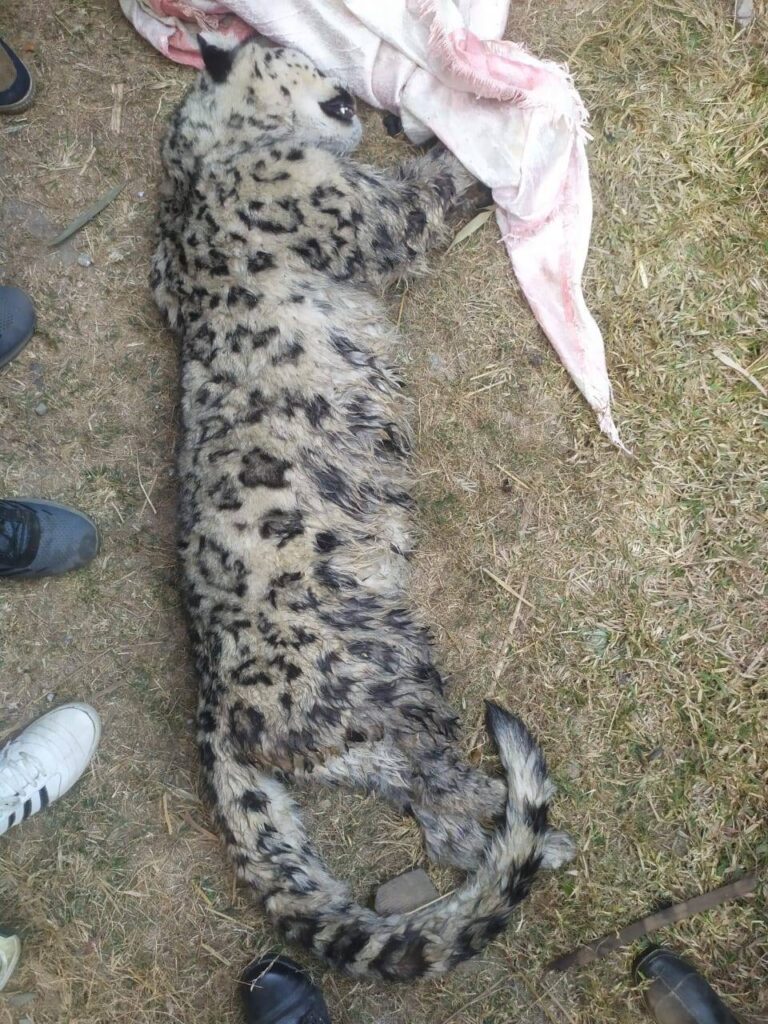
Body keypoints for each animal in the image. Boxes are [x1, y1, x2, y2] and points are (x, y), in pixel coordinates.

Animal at [151, 37, 574, 981]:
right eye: (289, 49)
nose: (367, 100)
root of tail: (216, 704)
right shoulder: (359, 209)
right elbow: (423, 189)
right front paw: (492, 129)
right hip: (387, 661)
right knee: (441, 783)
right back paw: (530, 828)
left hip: (362, 735)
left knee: (426, 801)